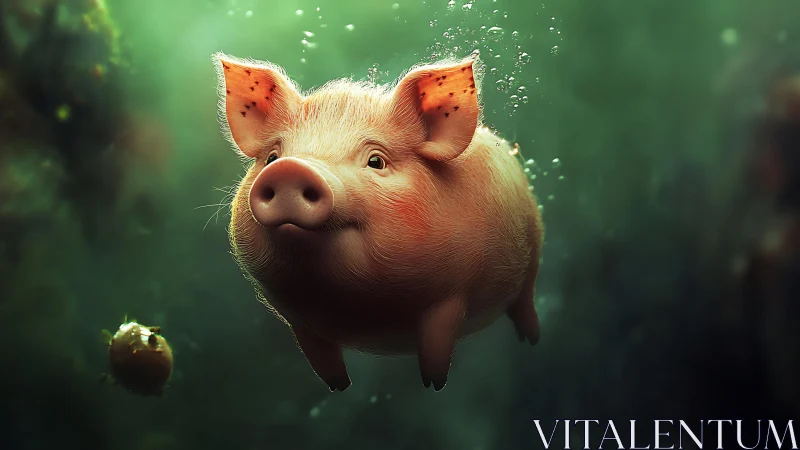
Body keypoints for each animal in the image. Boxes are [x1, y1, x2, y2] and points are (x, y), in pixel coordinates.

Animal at [213, 52, 544, 391]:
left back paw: (531, 340)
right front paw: (339, 387)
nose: (291, 168)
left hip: (534, 241)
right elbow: (320, 355)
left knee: (526, 297)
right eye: (272, 158)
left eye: (376, 161)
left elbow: (438, 340)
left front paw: (433, 384)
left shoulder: (451, 296)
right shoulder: (298, 320)